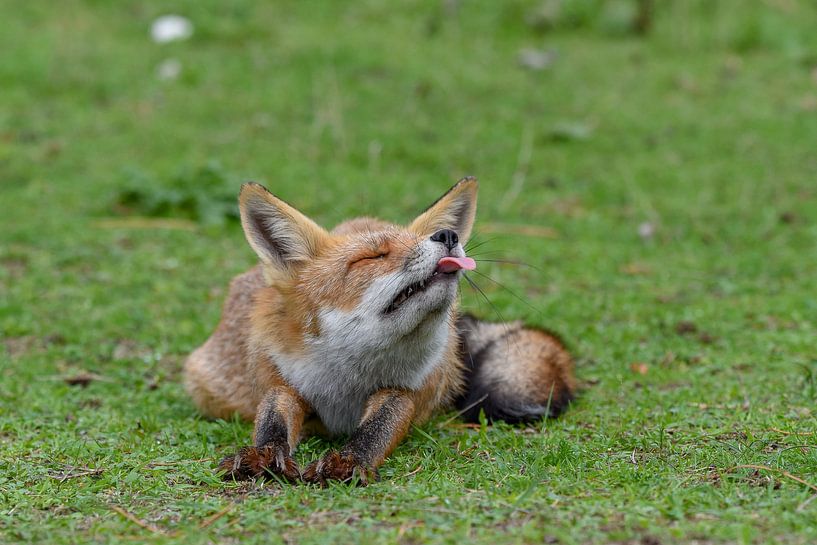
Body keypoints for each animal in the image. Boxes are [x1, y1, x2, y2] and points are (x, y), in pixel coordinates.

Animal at [186, 176, 572, 482]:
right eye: (371, 257)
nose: (447, 234)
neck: (347, 379)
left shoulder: (404, 389)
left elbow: (378, 427)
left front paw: (348, 460)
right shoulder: (282, 378)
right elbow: (273, 420)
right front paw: (264, 454)